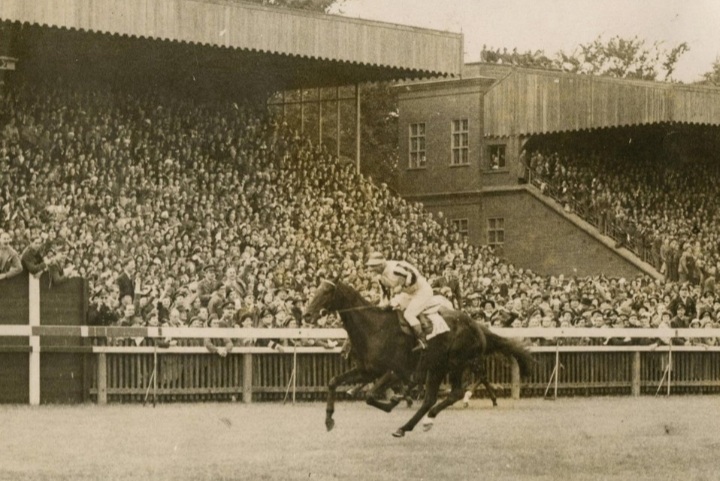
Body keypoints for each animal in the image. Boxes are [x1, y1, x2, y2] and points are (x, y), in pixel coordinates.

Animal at [300, 278, 532, 436]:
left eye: (327, 291)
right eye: (317, 289)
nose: (307, 314)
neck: (374, 328)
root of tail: (476, 325)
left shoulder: (393, 370)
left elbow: (372, 395)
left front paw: (392, 402)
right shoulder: (367, 370)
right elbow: (334, 381)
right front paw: (329, 419)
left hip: (456, 363)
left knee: (455, 392)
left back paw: (424, 419)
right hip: (438, 367)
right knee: (432, 398)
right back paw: (408, 426)